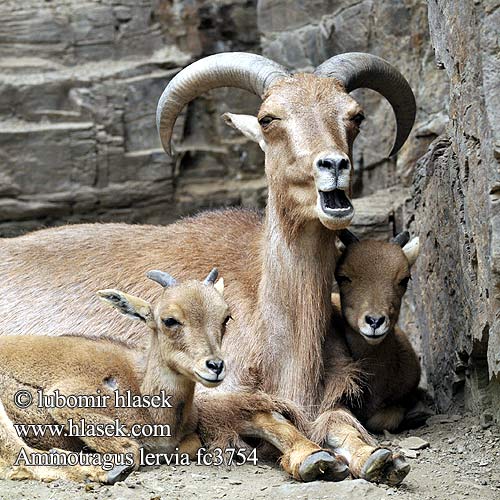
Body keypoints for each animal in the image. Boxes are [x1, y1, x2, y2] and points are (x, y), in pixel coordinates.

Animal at [0, 270, 229, 484]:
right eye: (169, 320)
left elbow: (192, 446)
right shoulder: (67, 398)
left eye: (226, 318)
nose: (215, 366)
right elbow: (131, 450)